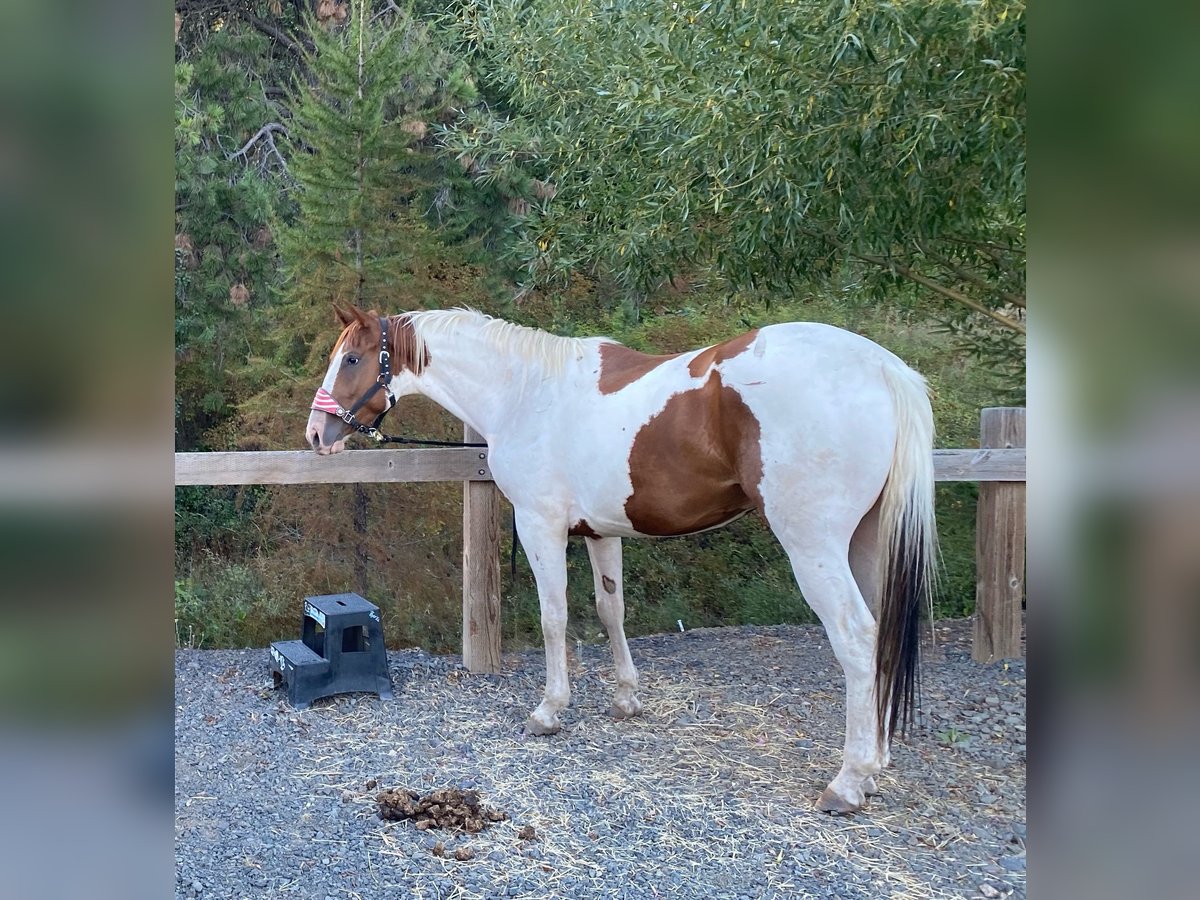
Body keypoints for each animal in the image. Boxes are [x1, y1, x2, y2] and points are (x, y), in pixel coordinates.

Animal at [302, 304, 936, 816]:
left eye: (352, 358)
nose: (316, 433)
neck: (527, 392)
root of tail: (884, 368)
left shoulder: (541, 526)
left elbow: (555, 617)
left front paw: (549, 711)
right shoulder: (600, 532)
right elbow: (612, 612)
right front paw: (626, 698)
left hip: (814, 546)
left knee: (856, 637)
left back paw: (849, 781)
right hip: (864, 544)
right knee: (879, 638)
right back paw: (875, 765)